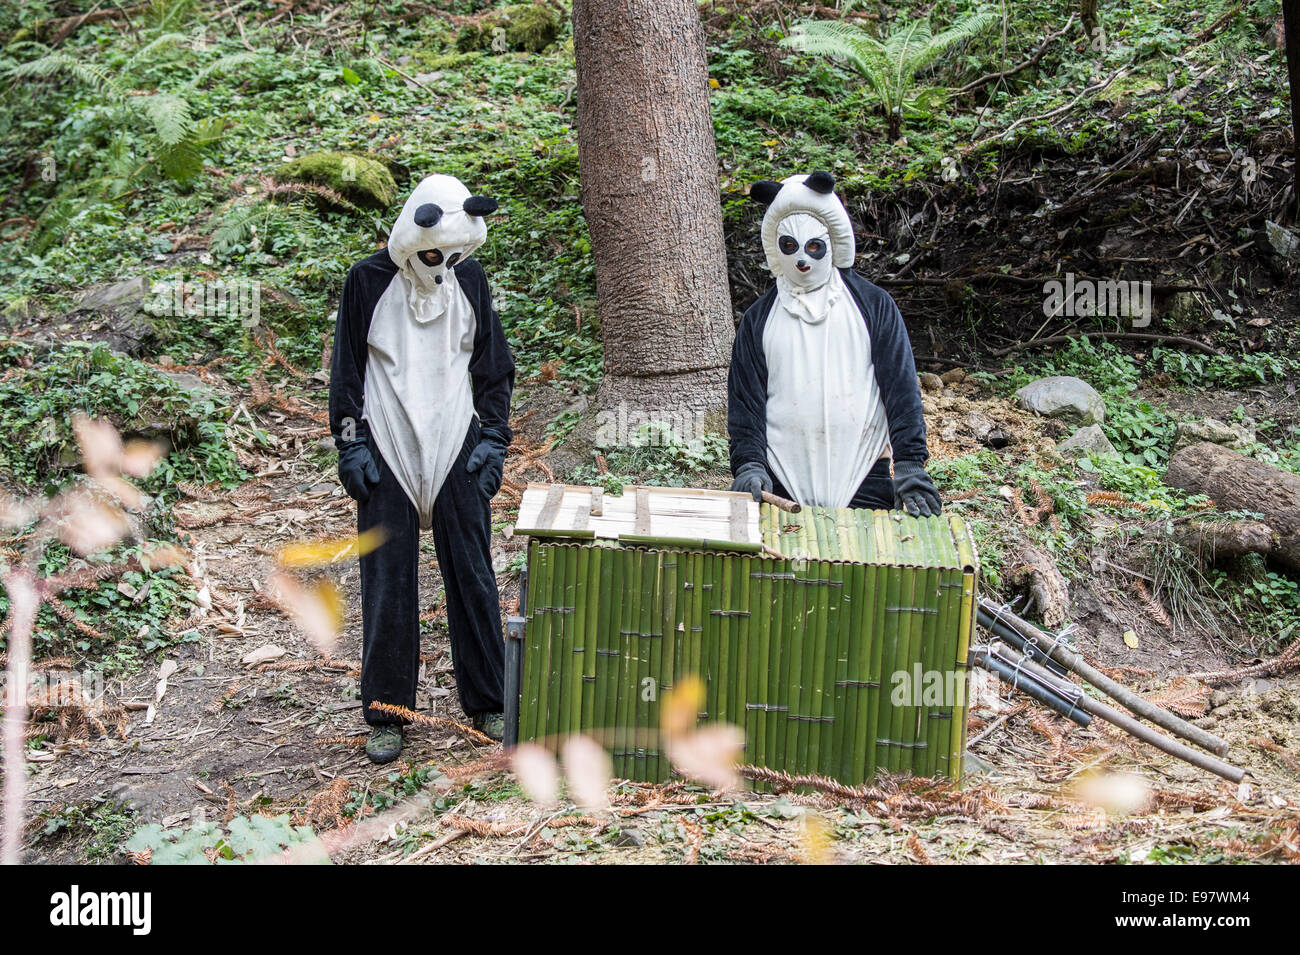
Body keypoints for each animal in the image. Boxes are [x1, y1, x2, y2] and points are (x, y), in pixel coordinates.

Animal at [329, 174, 515, 762]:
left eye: (457, 259)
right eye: (434, 254)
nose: (441, 276)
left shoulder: (476, 288)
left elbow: (492, 363)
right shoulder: (358, 291)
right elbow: (346, 370)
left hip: (457, 475)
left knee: (469, 550)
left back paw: (491, 709)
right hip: (389, 477)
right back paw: (386, 721)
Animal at [727, 171, 941, 516]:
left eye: (814, 245)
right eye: (788, 244)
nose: (801, 262)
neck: (811, 294)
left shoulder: (883, 308)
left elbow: (901, 385)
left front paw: (914, 482)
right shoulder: (749, 326)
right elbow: (746, 395)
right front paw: (750, 477)